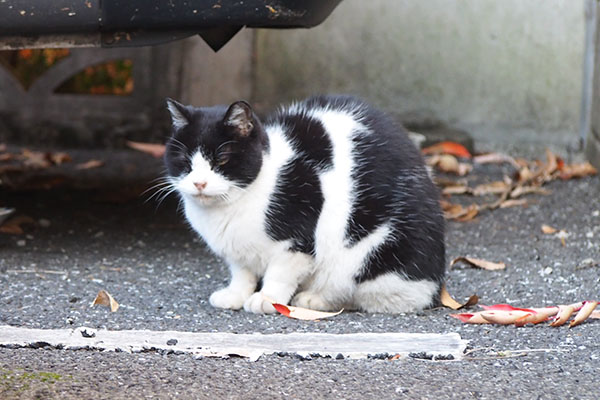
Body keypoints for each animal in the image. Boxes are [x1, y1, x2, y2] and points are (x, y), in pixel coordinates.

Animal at [164, 95, 446, 314]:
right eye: (184, 160)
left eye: (221, 159)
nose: (199, 183)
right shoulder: (236, 251)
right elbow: (242, 273)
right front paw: (235, 294)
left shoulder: (296, 241)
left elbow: (280, 273)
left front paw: (267, 299)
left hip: (374, 253)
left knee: (368, 294)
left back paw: (315, 299)